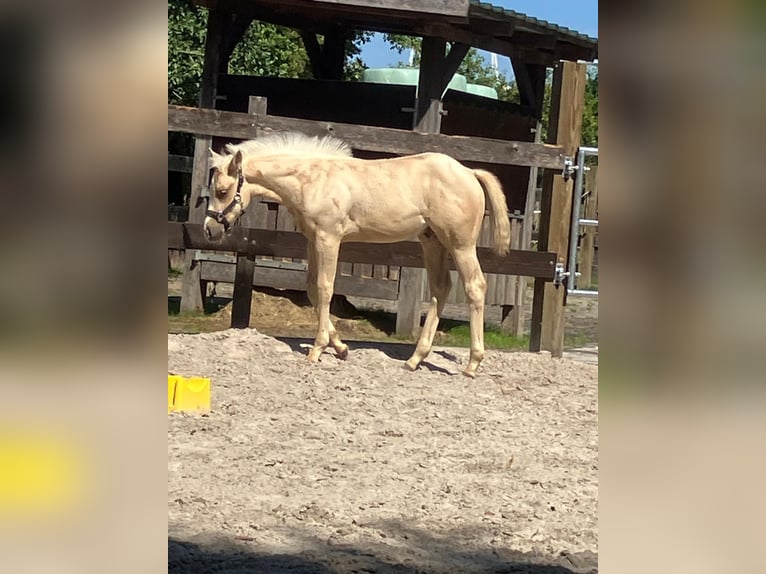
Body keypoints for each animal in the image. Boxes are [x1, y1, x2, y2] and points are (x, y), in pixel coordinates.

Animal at [204, 132, 510, 377]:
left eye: (222, 190)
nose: (209, 229)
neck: (313, 179)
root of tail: (469, 172)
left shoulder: (329, 239)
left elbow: (325, 288)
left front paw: (317, 350)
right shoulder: (313, 240)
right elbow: (312, 290)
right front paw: (340, 348)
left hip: (460, 245)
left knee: (475, 287)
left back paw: (472, 364)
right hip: (432, 241)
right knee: (440, 289)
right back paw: (414, 359)